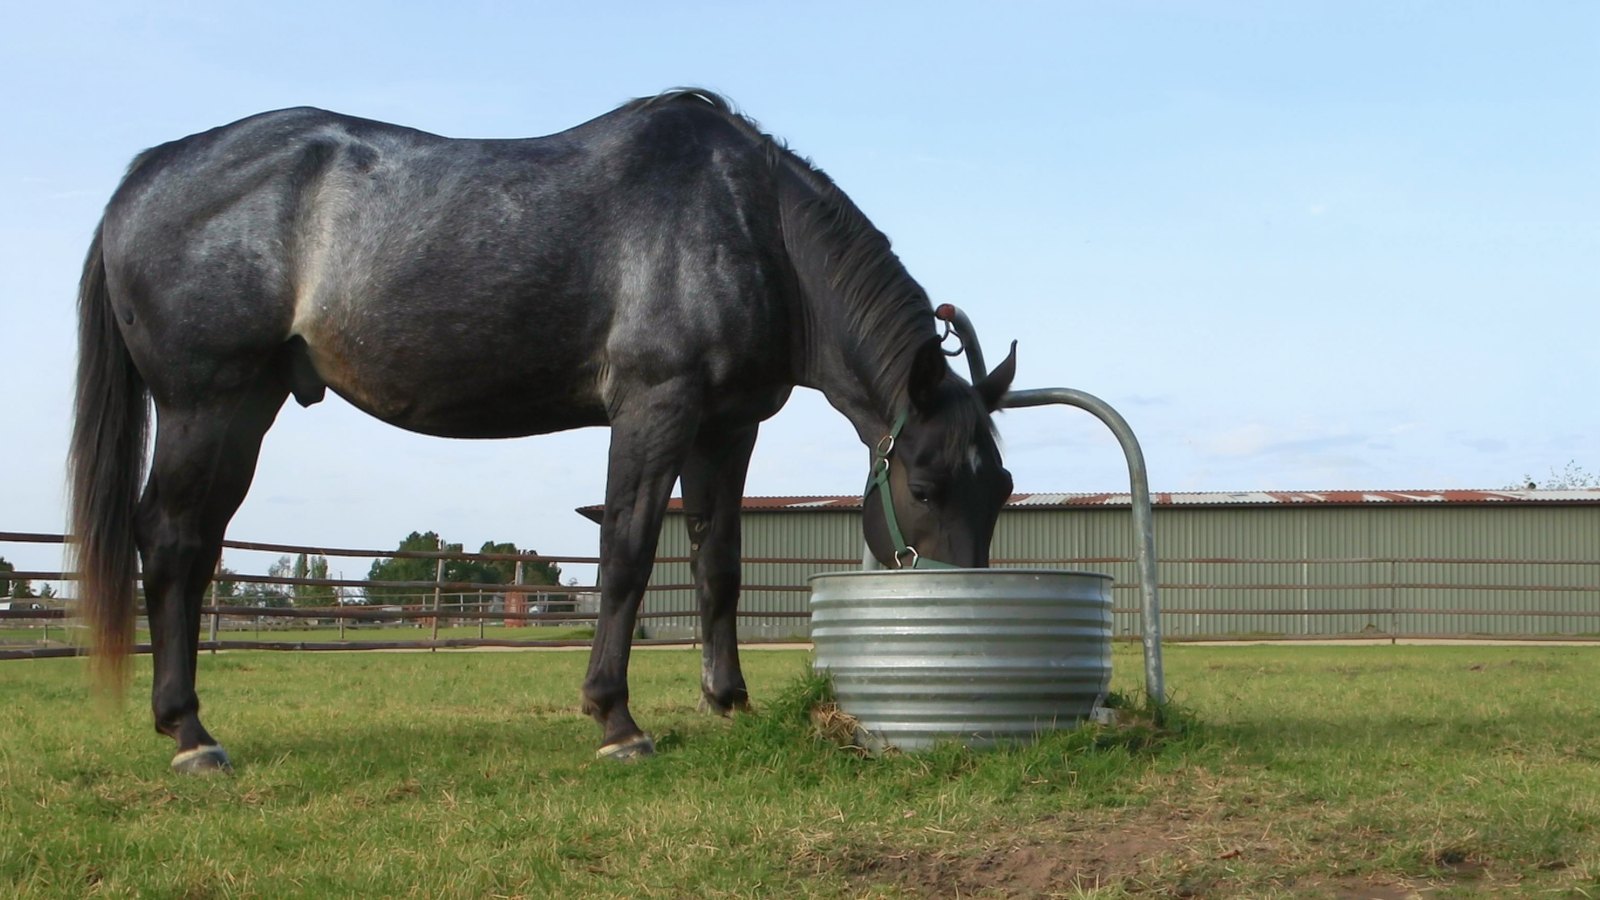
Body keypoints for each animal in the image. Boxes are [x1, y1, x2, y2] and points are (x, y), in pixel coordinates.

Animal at [69, 89, 1017, 771]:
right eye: (925, 485)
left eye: (1001, 487)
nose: (971, 614)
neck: (750, 224)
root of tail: (144, 176)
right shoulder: (654, 408)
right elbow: (629, 554)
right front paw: (616, 720)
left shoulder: (725, 428)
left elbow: (717, 564)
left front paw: (729, 701)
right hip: (212, 406)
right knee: (176, 543)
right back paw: (191, 735)